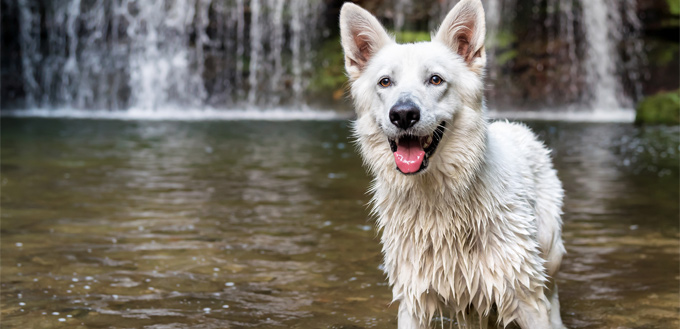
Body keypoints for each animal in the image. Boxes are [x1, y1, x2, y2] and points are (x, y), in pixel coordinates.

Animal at [340, 1, 568, 326]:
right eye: (385, 82)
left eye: (435, 79)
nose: (403, 114)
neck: (438, 200)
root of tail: (516, 125)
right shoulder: (414, 299)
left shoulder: (524, 294)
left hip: (550, 251)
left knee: (552, 292)